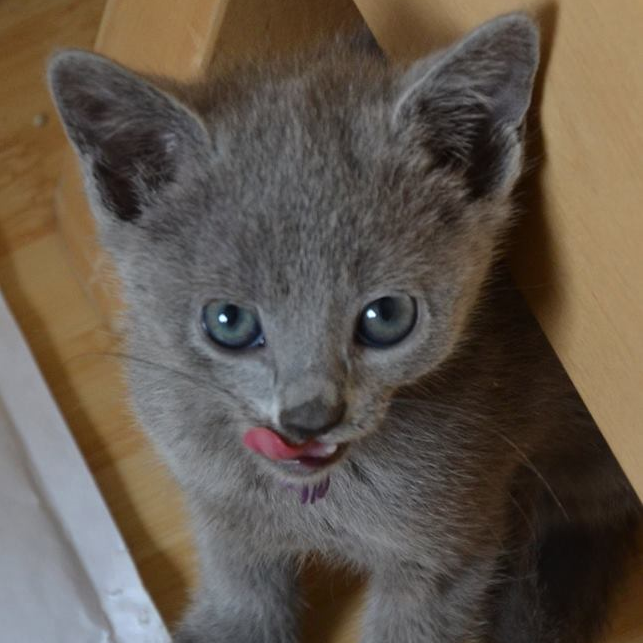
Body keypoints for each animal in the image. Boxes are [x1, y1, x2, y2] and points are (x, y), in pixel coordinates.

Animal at [49, 11, 640, 643]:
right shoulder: (217, 508)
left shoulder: (451, 552)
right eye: (228, 322)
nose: (311, 416)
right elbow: (240, 595)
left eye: (387, 317)